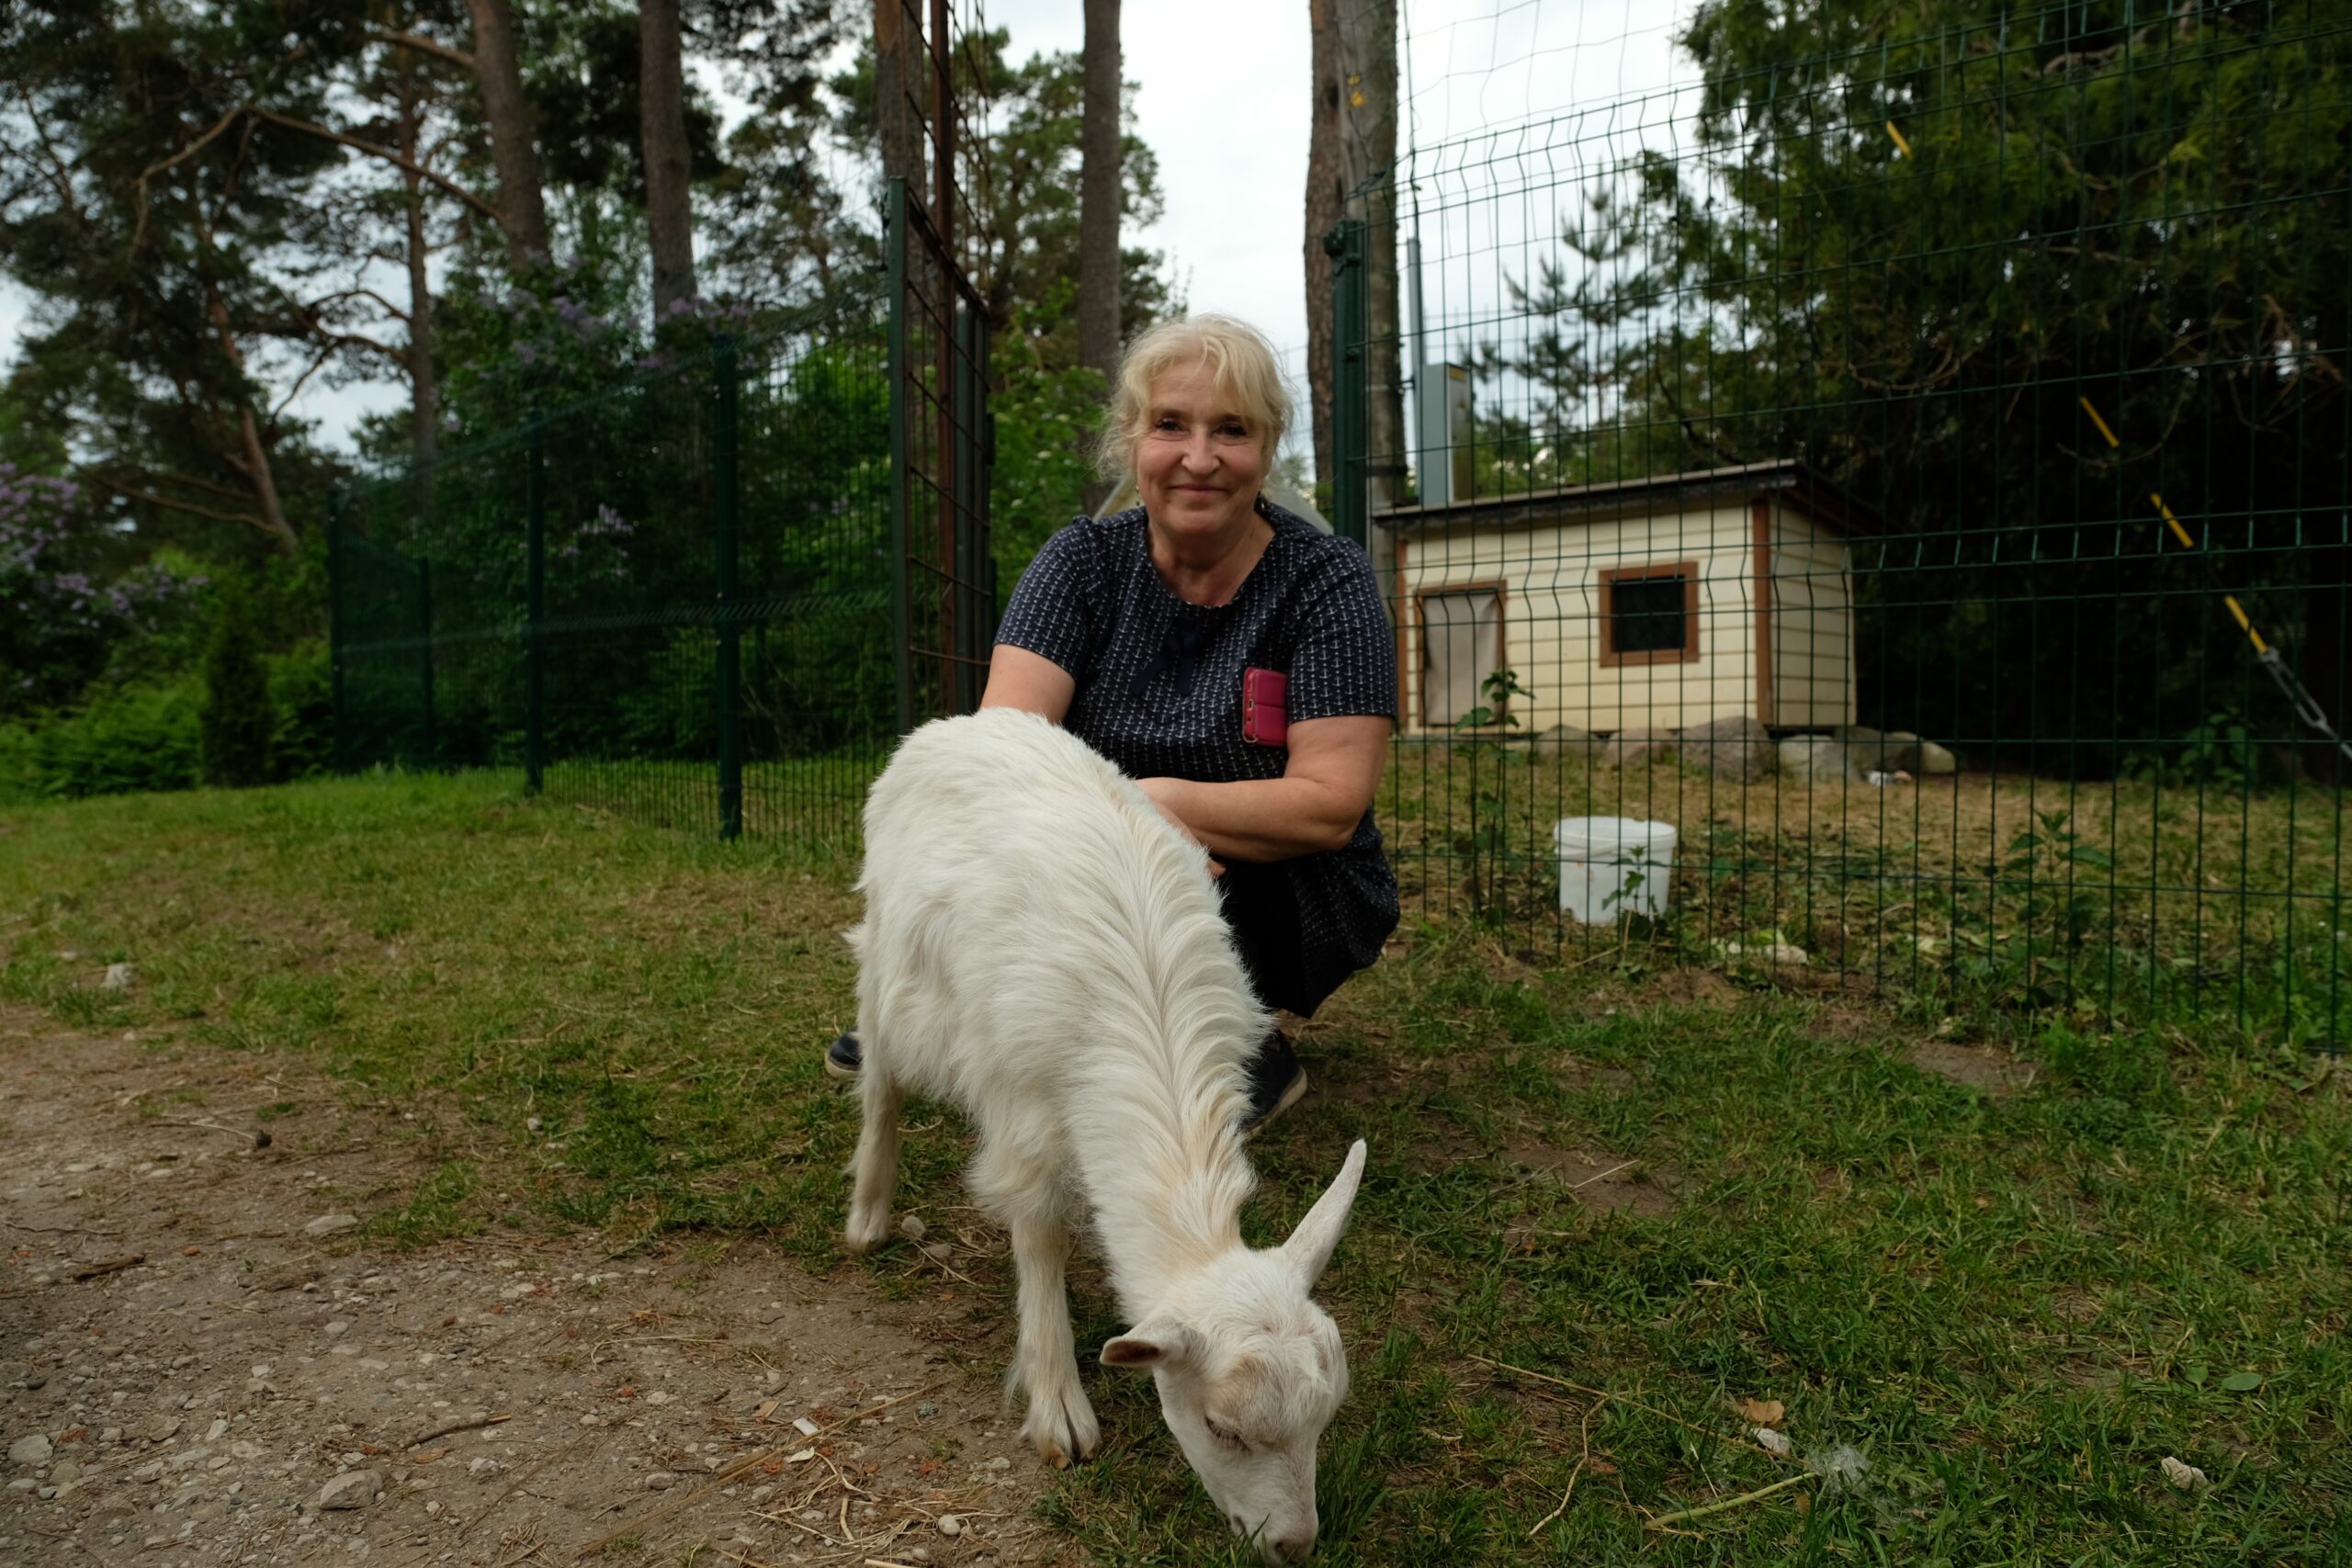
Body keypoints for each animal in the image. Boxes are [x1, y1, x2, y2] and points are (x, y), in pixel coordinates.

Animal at [843, 707, 1367, 1564]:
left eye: (1326, 1419)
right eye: (1221, 1426)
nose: (1294, 1544)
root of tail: (967, 717)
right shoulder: (1022, 1105)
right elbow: (1039, 1235)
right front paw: (1058, 1403)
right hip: (893, 963)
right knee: (882, 1078)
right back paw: (868, 1214)